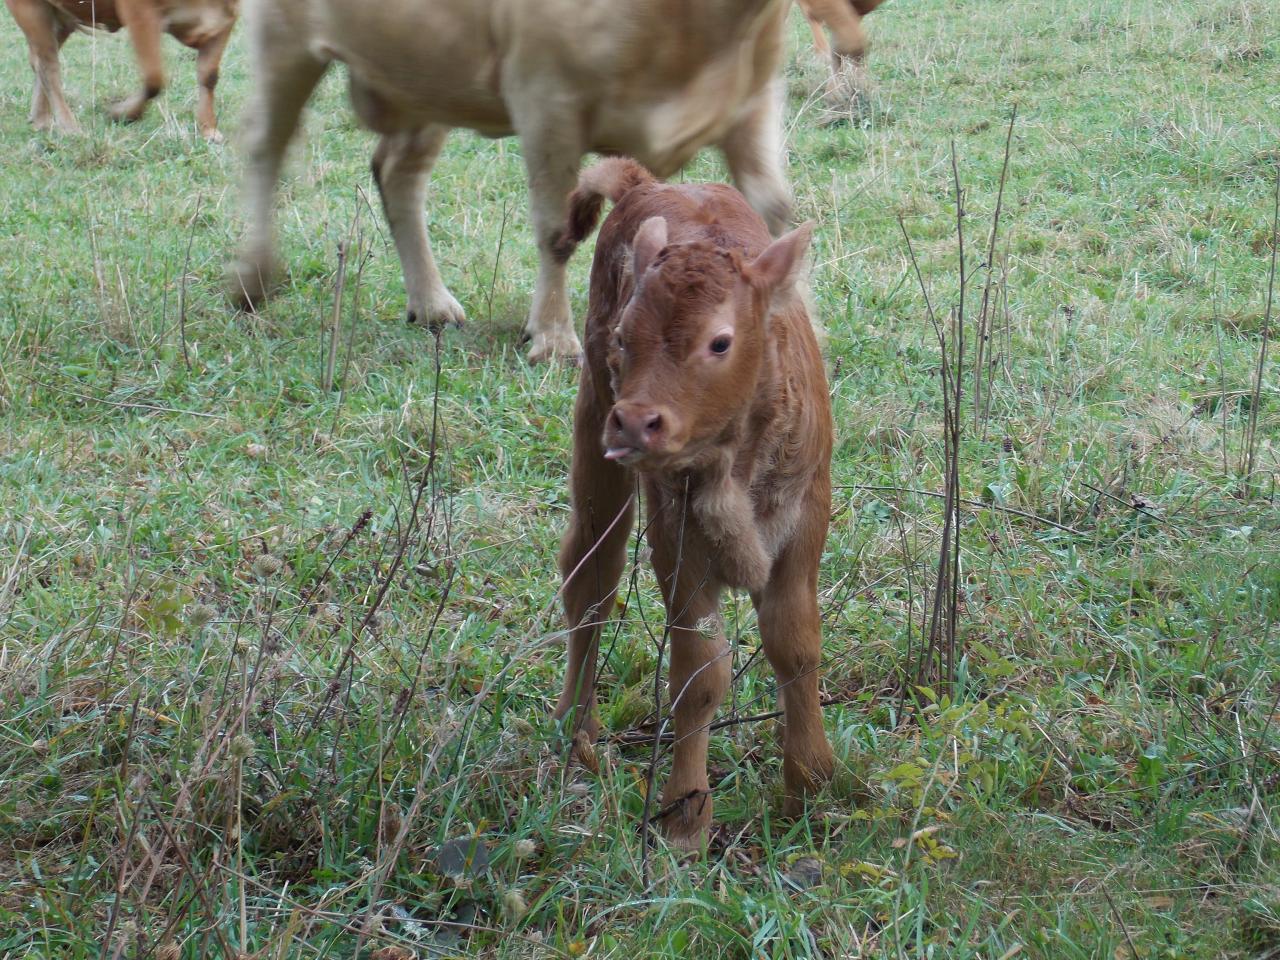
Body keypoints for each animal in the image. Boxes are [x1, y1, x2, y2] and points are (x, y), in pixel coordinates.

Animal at [3, 0, 238, 140]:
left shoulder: (225, 20)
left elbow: (209, 77)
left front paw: (209, 129)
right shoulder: (139, 12)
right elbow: (154, 78)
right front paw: (122, 114)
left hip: (61, 16)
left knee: (38, 61)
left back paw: (41, 120)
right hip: (30, 9)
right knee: (48, 65)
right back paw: (69, 128)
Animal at [552, 161, 834, 855]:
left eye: (721, 342)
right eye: (625, 338)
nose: (636, 422)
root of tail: (648, 181)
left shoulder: (805, 520)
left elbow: (796, 645)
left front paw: (813, 785)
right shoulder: (676, 539)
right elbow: (699, 674)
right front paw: (685, 818)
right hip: (594, 436)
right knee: (590, 576)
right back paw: (578, 731)